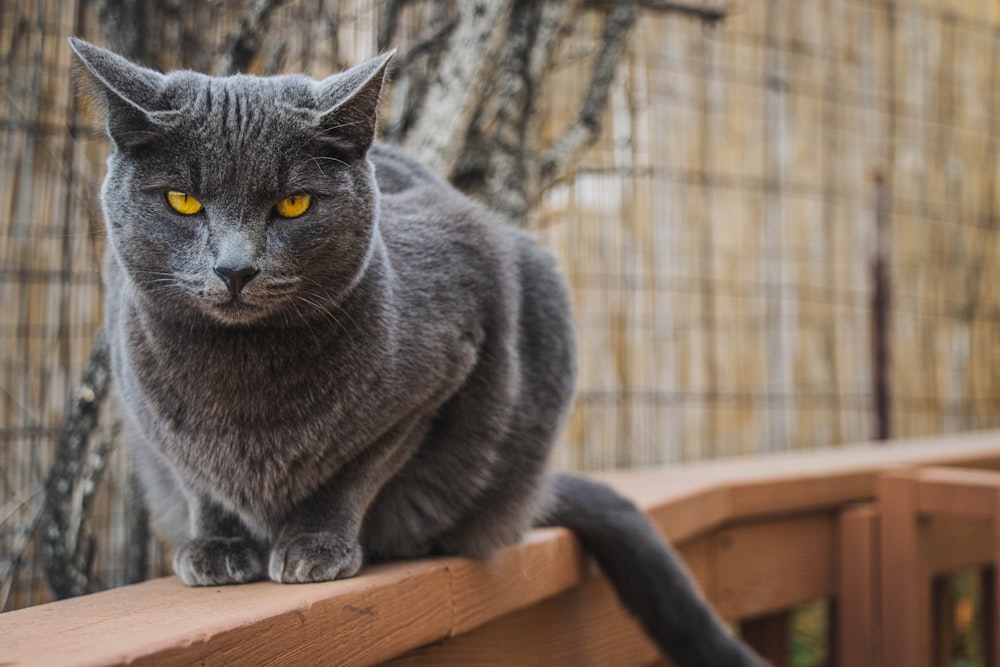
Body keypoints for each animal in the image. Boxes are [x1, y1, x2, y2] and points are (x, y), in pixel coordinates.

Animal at [68, 37, 756, 667]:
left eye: (294, 203)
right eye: (183, 200)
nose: (235, 269)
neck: (242, 373)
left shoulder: (445, 362)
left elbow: (360, 466)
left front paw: (317, 542)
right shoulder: (150, 417)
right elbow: (199, 481)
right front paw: (217, 547)